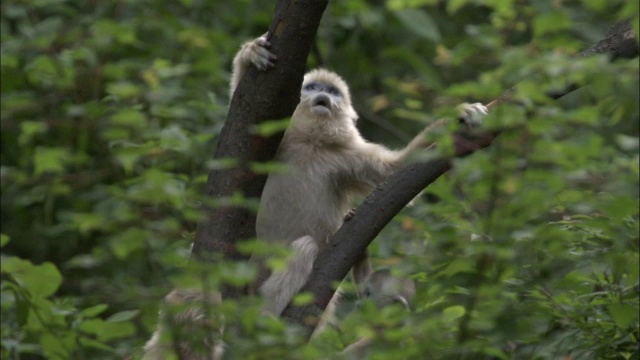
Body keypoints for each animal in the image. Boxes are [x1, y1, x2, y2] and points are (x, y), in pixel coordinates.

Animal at [230, 32, 490, 318]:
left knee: (305, 248)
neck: (310, 143)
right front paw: (252, 53)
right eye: (311, 87)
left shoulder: (347, 158)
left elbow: (397, 170)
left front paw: (456, 117)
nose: (322, 94)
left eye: (332, 91)